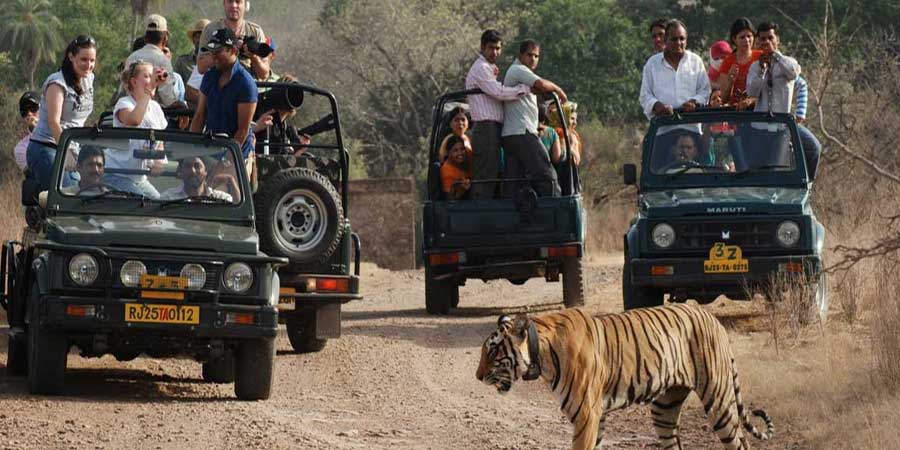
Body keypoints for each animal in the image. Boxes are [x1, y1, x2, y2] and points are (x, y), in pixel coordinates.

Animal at [474, 302, 776, 450]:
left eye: (492, 350)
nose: (477, 376)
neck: (542, 353)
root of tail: (713, 318)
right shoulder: (597, 416)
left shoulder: (586, 414)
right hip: (665, 408)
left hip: (719, 400)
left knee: (740, 443)